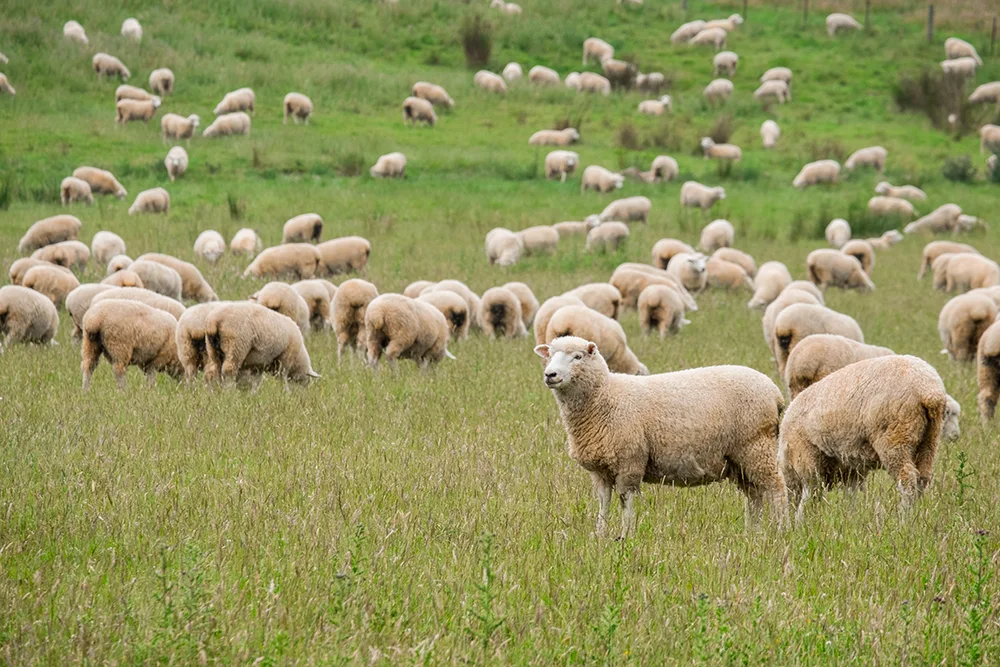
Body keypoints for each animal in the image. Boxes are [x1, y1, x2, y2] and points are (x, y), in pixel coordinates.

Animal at [535, 336, 785, 538]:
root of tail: (775, 392)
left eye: (577, 357)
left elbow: (626, 501)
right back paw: (752, 533)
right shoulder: (600, 470)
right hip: (739, 459)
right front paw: (600, 535)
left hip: (756, 446)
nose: (550, 375)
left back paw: (782, 530)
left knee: (776, 489)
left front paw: (625, 536)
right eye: (550, 356)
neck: (605, 396)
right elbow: (603, 502)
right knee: (754, 496)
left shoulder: (629, 462)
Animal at [780, 355, 950, 519]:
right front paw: (851, 517)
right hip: (929, 440)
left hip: (894, 438)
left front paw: (801, 520)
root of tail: (929, 391)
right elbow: (851, 495)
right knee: (923, 479)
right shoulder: (852, 469)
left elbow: (810, 491)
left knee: (907, 480)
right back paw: (917, 515)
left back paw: (904, 518)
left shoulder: (807, 456)